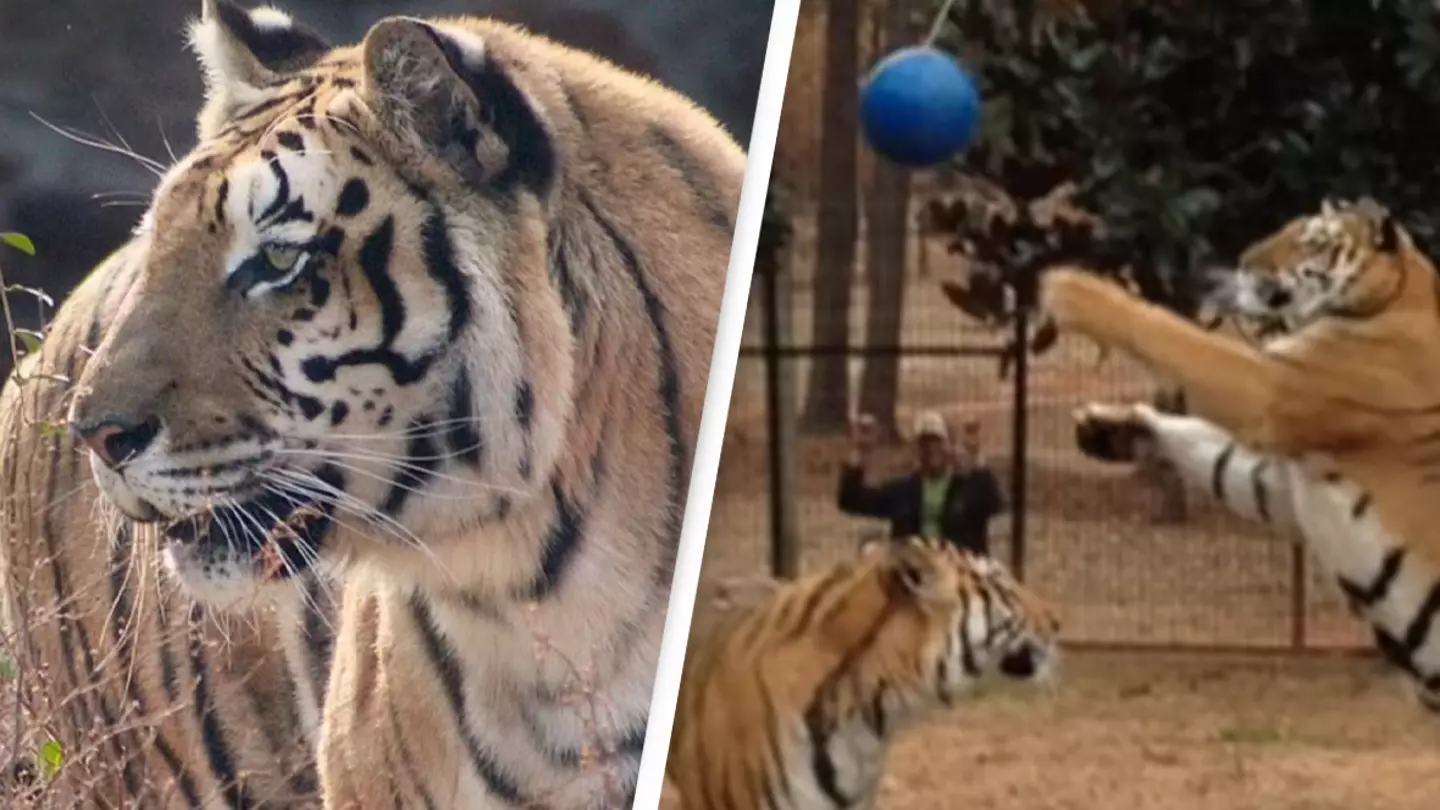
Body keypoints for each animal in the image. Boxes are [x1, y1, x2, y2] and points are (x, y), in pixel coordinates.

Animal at [1045, 196, 1440, 710]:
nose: (1245, 260)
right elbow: (1216, 458)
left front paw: (1072, 288)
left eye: (1313, 240)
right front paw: (1112, 428)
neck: (1394, 294)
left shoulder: (1270, 387)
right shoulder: (1281, 483)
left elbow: (1173, 335)